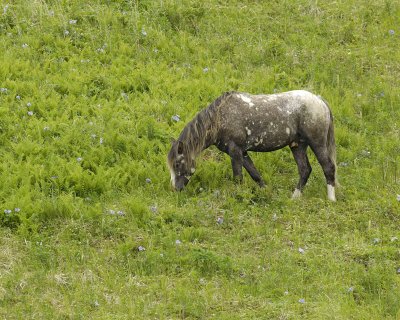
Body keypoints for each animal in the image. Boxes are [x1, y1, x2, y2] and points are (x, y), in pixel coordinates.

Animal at [166, 90, 338, 200]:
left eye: (177, 164)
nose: (175, 189)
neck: (220, 117)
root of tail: (320, 100)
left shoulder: (235, 151)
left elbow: (238, 177)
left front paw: (238, 198)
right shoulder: (242, 152)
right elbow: (255, 175)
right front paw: (267, 194)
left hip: (317, 143)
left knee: (328, 167)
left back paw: (331, 199)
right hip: (298, 145)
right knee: (304, 170)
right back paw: (294, 198)